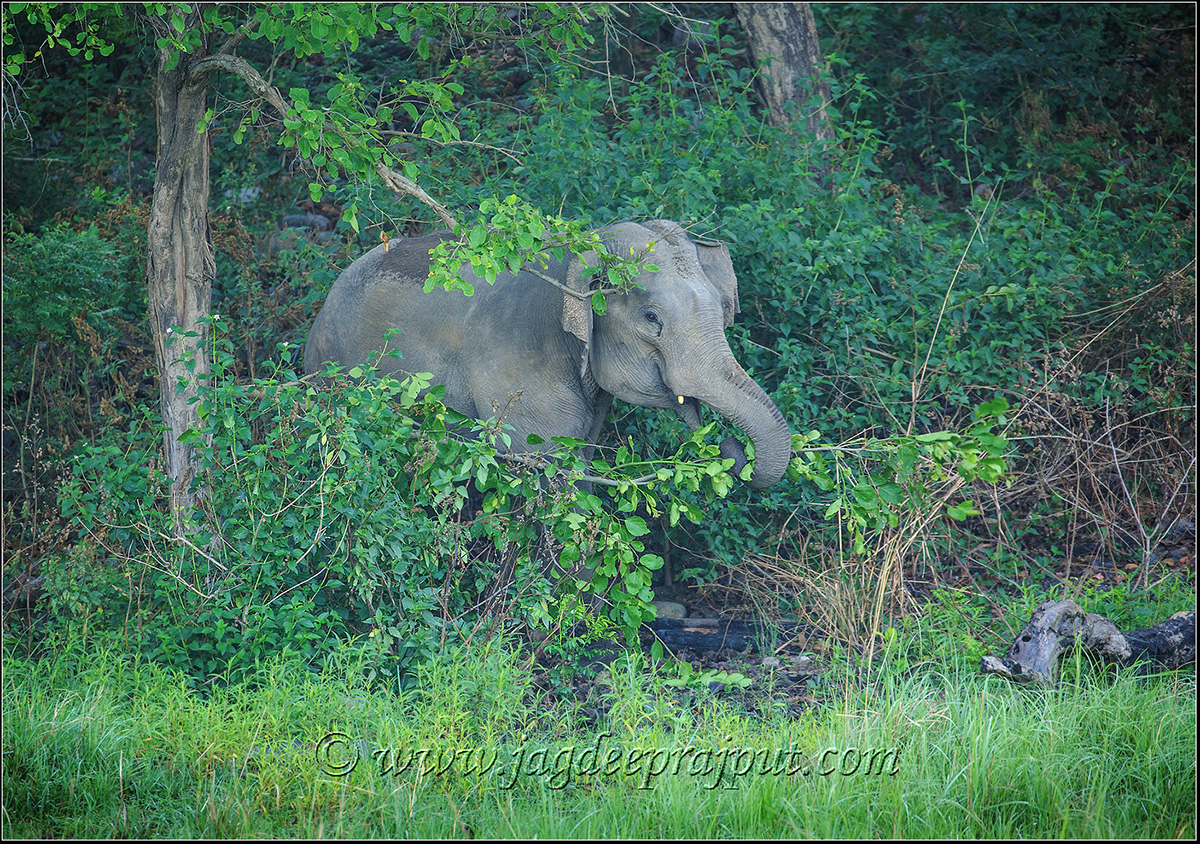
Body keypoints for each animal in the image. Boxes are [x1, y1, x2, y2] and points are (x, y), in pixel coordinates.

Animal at [303, 219, 792, 488]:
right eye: (652, 318)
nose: (731, 446)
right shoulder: (516, 368)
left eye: (722, 309)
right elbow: (553, 475)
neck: (576, 255)